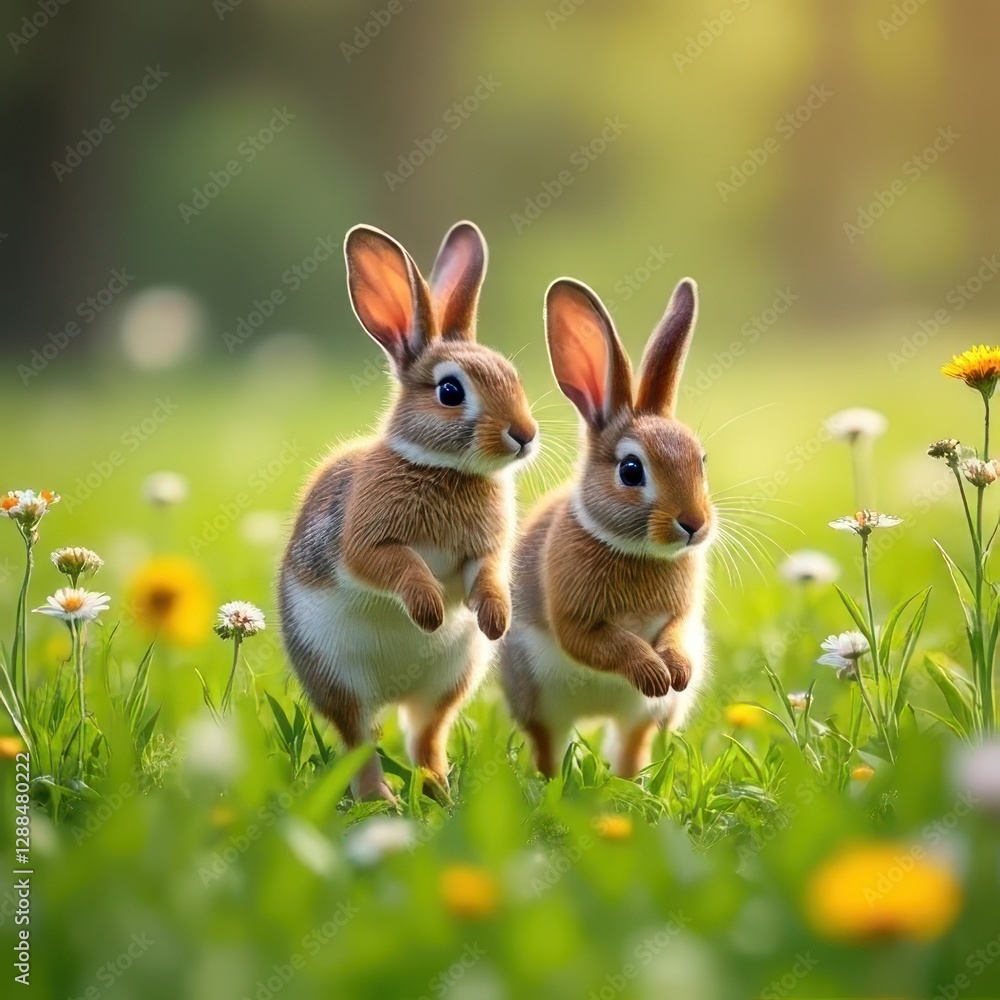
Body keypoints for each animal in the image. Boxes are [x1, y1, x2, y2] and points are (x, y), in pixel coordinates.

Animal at [279, 221, 537, 801]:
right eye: (450, 390)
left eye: (514, 376)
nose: (524, 435)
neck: (444, 469)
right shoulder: (365, 541)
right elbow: (393, 566)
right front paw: (429, 612)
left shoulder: (482, 552)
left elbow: (487, 574)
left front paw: (494, 617)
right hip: (337, 677)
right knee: (359, 740)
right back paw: (384, 800)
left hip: (451, 680)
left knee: (427, 735)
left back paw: (438, 794)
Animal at [500, 275, 713, 779]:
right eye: (631, 471)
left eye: (701, 461)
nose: (694, 525)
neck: (635, 550)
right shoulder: (574, 617)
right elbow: (596, 643)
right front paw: (653, 673)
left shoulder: (681, 615)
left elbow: (676, 632)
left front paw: (675, 672)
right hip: (536, 697)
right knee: (548, 744)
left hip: (642, 717)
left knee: (632, 743)